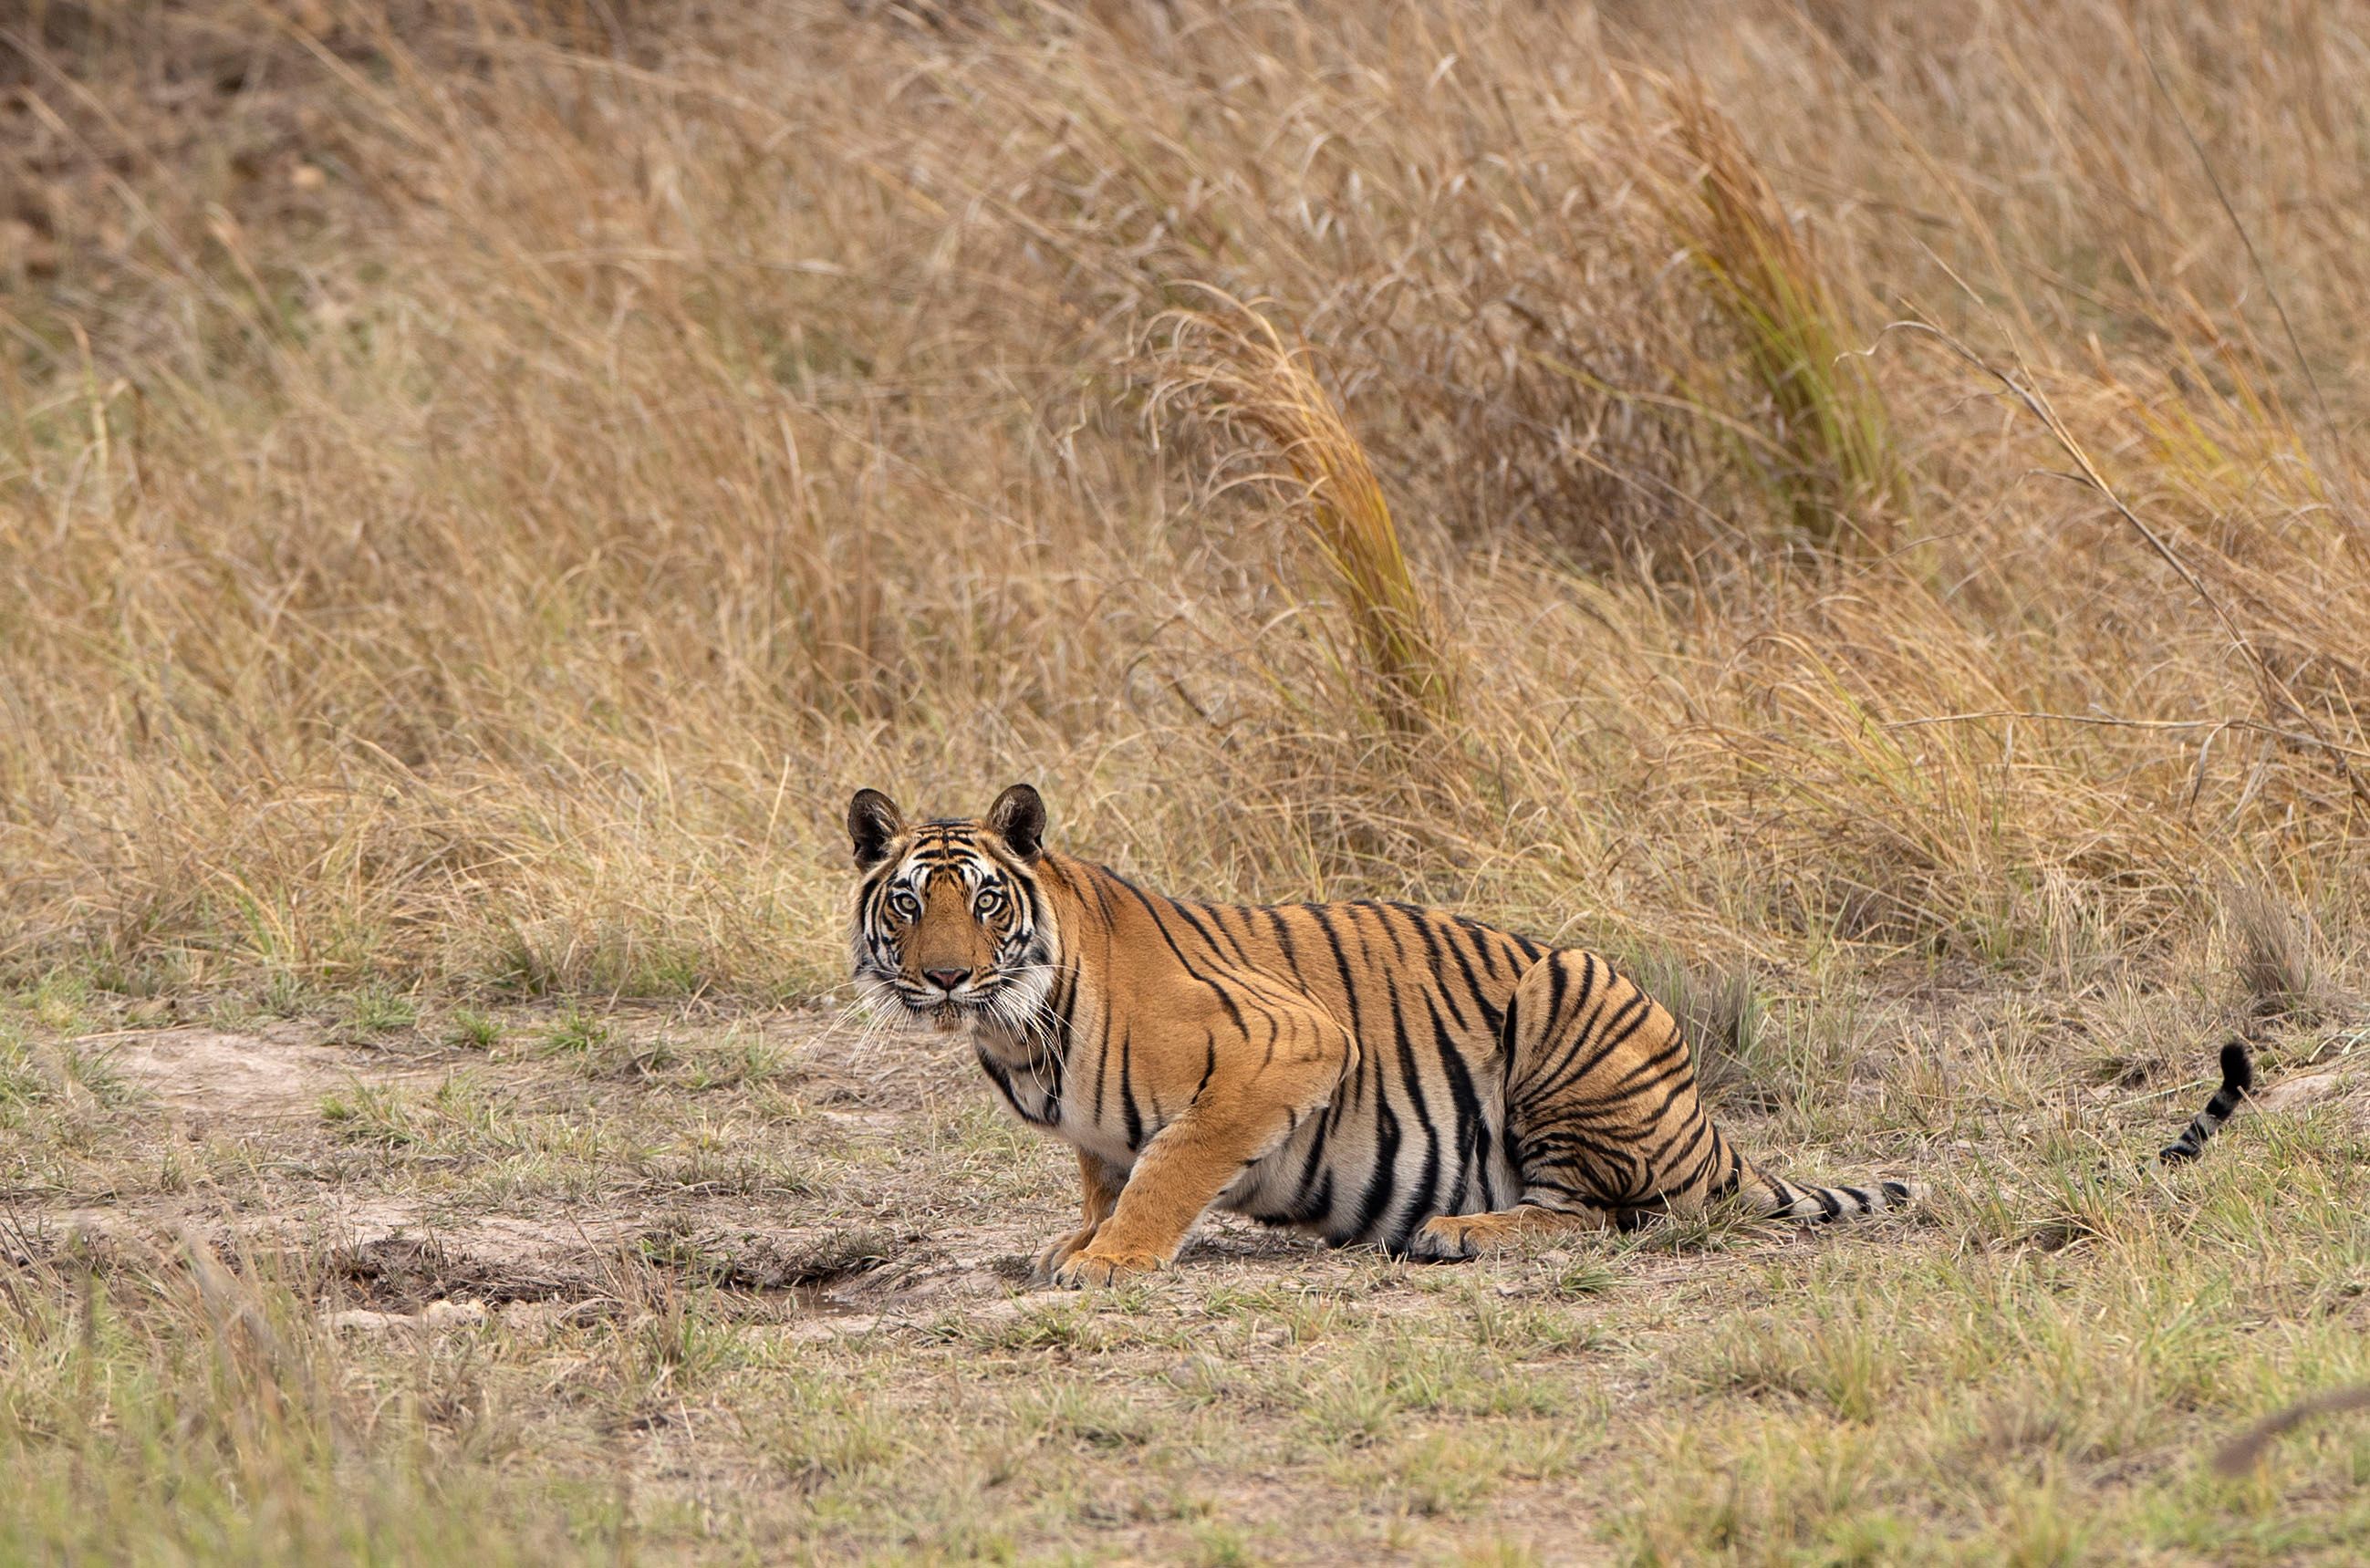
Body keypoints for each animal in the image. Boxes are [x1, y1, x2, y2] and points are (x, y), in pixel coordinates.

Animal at [846, 782, 1927, 1287]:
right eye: (908, 903)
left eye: (986, 902)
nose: (946, 976)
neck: (1019, 1033)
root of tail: (1707, 1126)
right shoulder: (1098, 1132)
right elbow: (1108, 1172)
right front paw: (1079, 1236)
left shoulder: (1289, 1040)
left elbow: (1170, 1164)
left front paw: (1112, 1258)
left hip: (1567, 991)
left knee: (1599, 1212)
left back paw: (1460, 1231)